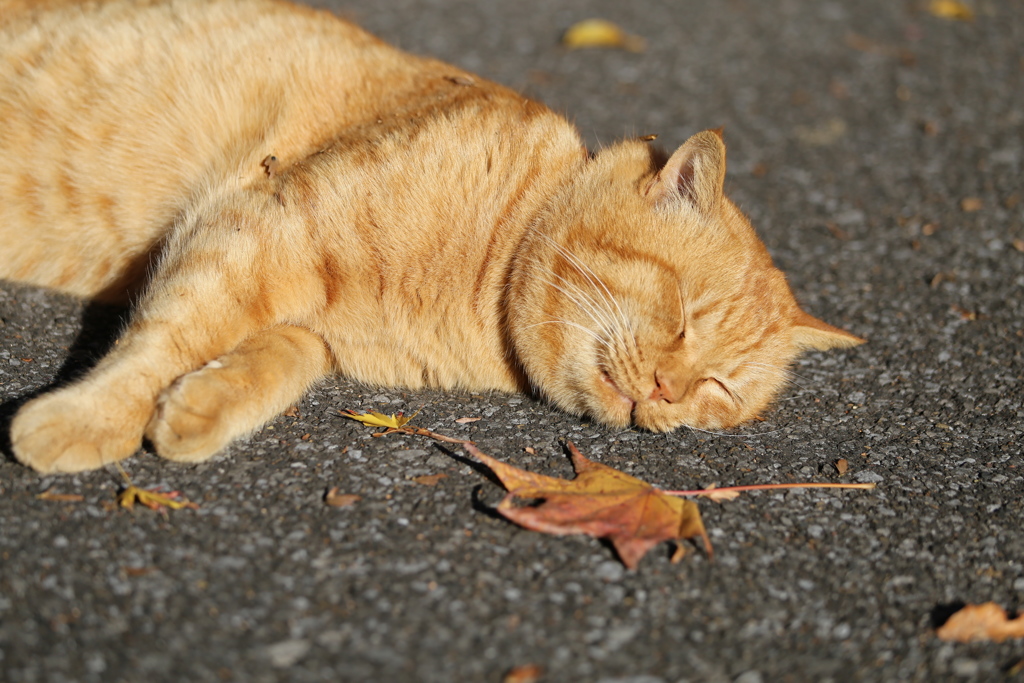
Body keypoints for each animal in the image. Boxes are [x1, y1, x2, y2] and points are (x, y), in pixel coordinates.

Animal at [0, 0, 864, 473]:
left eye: (719, 389)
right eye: (682, 316)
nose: (666, 391)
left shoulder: (285, 290)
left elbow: (273, 358)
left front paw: (199, 408)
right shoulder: (255, 225)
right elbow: (160, 339)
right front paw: (83, 421)